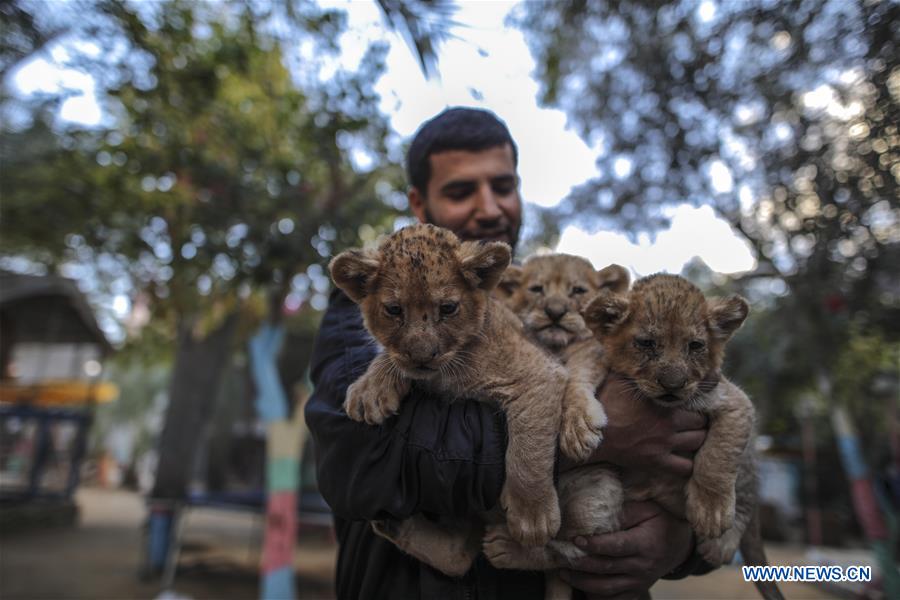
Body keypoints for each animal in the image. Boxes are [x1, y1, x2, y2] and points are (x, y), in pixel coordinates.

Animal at [328, 224, 604, 576]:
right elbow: (394, 357)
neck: (450, 368)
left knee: (572, 555)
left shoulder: (541, 373)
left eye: (448, 309)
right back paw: (393, 524)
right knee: (460, 555)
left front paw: (532, 518)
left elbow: (528, 451)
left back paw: (513, 548)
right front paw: (369, 390)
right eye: (394, 310)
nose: (422, 356)